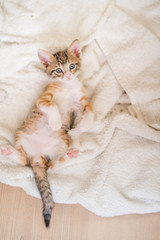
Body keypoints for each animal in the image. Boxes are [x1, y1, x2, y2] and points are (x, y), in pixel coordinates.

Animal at [14, 39, 93, 227]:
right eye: (58, 70)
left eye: (72, 66)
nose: (68, 76)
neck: (68, 86)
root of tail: (37, 158)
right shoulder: (43, 98)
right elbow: (51, 105)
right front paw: (55, 121)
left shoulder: (81, 100)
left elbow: (90, 110)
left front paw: (84, 125)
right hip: (21, 135)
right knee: (23, 160)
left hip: (61, 142)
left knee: (52, 165)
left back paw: (69, 156)